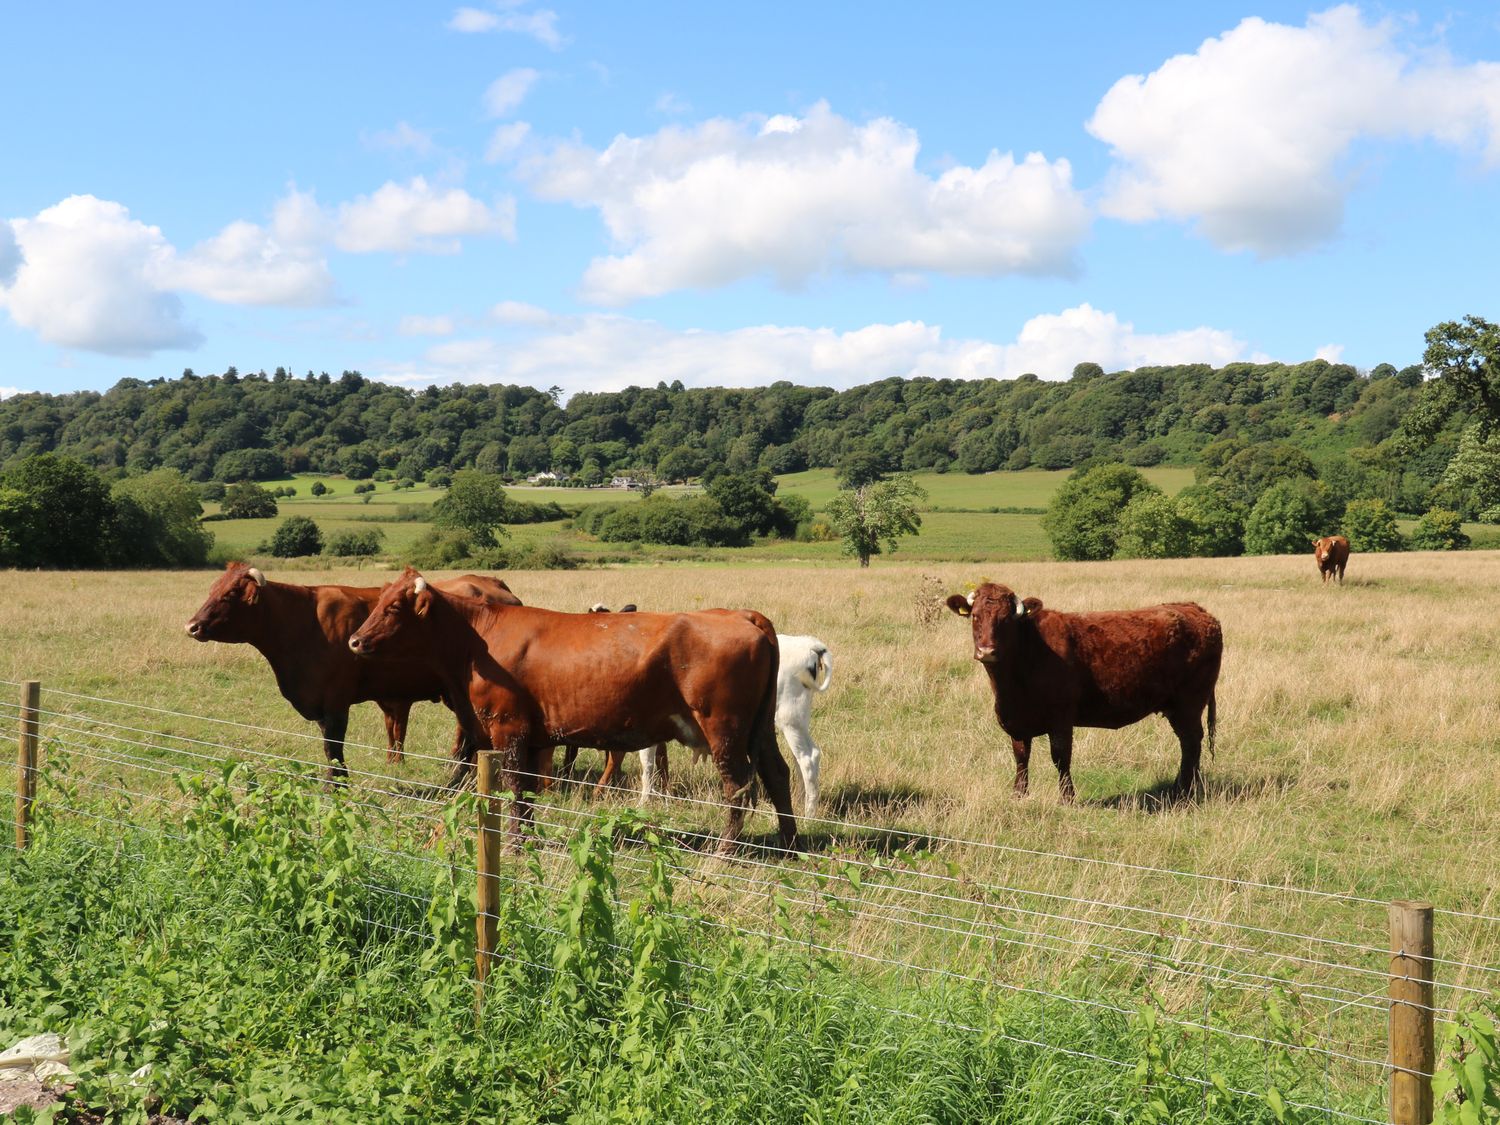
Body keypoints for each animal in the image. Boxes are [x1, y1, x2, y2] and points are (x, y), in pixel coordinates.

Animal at [186, 564, 522, 786]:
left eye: (231, 593)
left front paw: (337, 784)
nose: (192, 626)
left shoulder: (336, 700)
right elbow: (331, 745)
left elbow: (333, 746)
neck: (302, 623)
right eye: (212, 589)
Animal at [348, 573, 798, 852]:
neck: (478, 640)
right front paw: (528, 839)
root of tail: (740, 613)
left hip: (724, 729)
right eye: (379, 602)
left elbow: (514, 787)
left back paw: (724, 852)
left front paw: (514, 844)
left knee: (738, 787)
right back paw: (790, 844)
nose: (354, 641)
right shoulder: (531, 736)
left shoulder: (508, 727)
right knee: (776, 774)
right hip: (759, 729)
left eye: (394, 608)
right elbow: (527, 790)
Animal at [639, 636, 840, 822]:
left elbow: (647, 763)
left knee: (808, 757)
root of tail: (810, 644)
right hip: (797, 721)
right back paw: (797, 804)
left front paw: (644, 802)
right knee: (799, 759)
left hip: (790, 718)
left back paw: (808, 816)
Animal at [942, 585, 1224, 804]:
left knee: (1191, 742)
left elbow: (1060, 758)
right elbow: (1021, 758)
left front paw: (1067, 798)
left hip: (1189, 703)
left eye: (1006, 620)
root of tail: (1196, 609)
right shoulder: (1017, 723)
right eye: (975, 616)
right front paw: (1019, 795)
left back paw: (1185, 790)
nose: (987, 651)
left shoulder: (1061, 719)